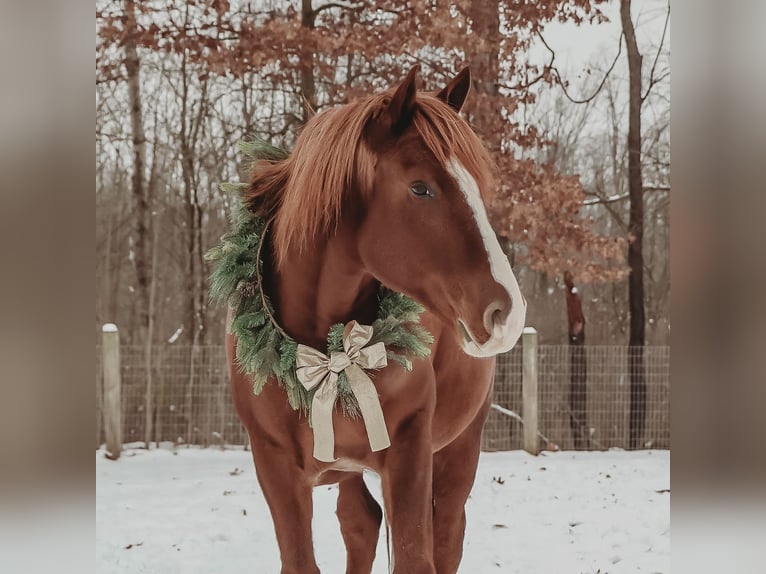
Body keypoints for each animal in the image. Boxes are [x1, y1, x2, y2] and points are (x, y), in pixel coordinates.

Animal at [226, 65, 526, 574]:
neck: (322, 351)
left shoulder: (408, 450)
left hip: (459, 448)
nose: (507, 311)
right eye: (420, 187)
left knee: (447, 533)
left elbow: (415, 556)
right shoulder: (274, 466)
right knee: (360, 522)